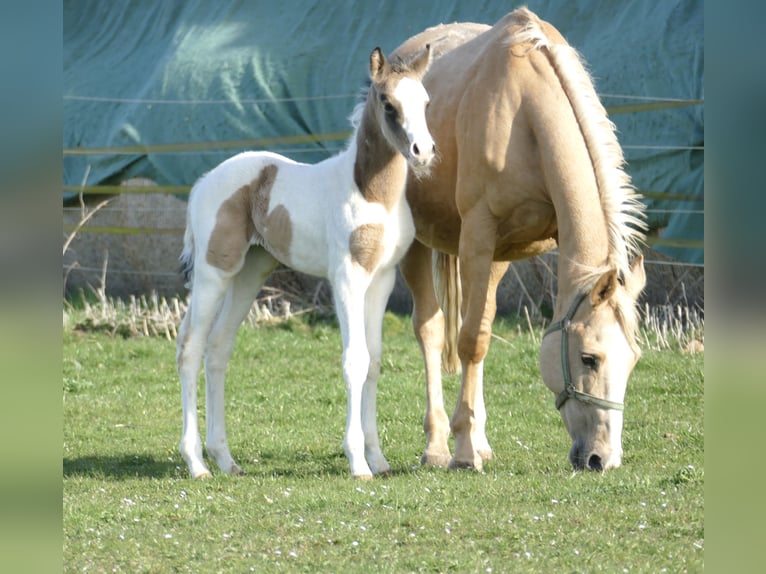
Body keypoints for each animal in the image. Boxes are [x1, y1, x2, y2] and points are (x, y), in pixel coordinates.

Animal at [176, 45, 435, 479]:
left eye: (426, 101)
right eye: (388, 103)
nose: (424, 153)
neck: (373, 194)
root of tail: (201, 184)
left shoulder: (381, 279)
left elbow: (375, 360)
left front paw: (379, 459)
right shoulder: (347, 277)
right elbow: (355, 360)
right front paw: (357, 462)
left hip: (250, 273)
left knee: (218, 348)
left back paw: (225, 459)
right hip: (215, 273)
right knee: (191, 350)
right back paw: (197, 463)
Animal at [391, 7, 647, 472]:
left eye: (632, 360)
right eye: (589, 358)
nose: (602, 459)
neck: (522, 109)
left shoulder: (501, 247)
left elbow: (480, 336)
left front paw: (474, 440)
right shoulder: (477, 236)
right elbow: (469, 341)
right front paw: (463, 452)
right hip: (421, 244)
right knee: (431, 330)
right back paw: (437, 445)